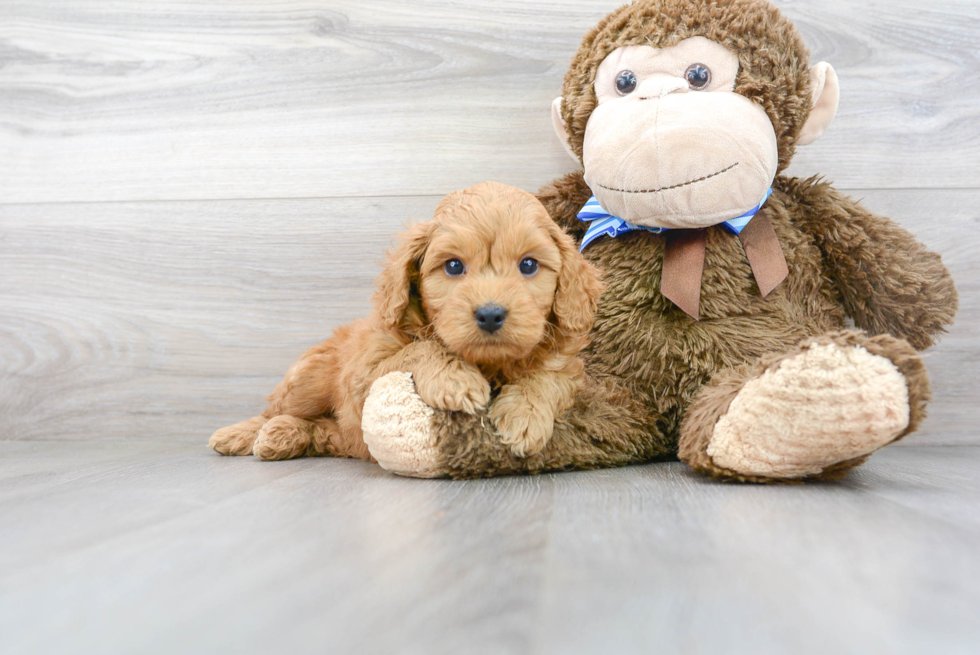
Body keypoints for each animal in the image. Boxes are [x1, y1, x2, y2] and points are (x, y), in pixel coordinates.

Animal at [211, 182, 600, 464]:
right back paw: (242, 434)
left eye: (529, 265)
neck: (489, 364)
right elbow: (420, 348)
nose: (490, 314)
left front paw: (525, 414)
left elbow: (548, 377)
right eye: (454, 266)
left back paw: (287, 436)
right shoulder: (362, 376)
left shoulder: (569, 369)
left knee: (322, 430)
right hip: (309, 379)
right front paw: (455, 378)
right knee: (274, 409)